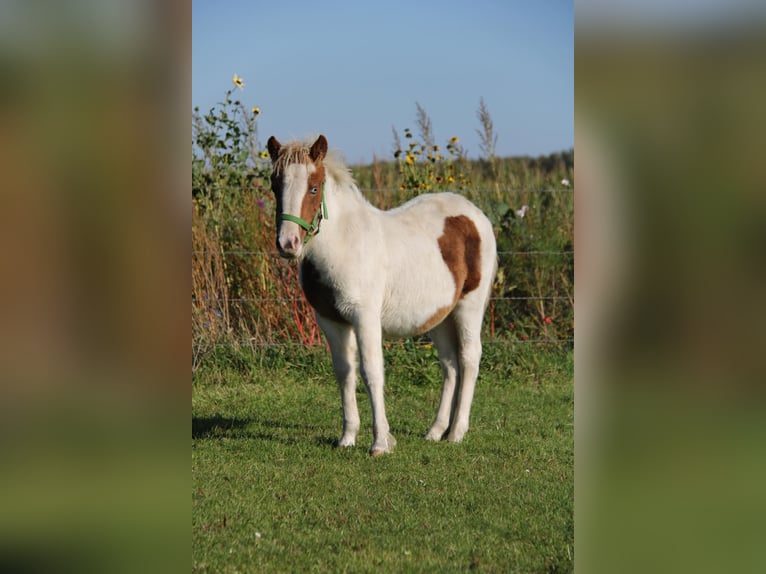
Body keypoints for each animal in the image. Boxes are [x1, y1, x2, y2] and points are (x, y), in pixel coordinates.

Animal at [268, 136, 498, 460]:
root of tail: (475, 215)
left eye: (313, 187)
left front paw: (380, 443)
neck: (343, 243)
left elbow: (372, 372)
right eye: (275, 185)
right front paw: (347, 438)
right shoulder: (330, 320)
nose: (288, 244)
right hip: (441, 316)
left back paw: (456, 433)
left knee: (469, 358)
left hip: (469, 307)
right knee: (450, 364)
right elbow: (345, 373)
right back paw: (435, 431)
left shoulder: (364, 317)